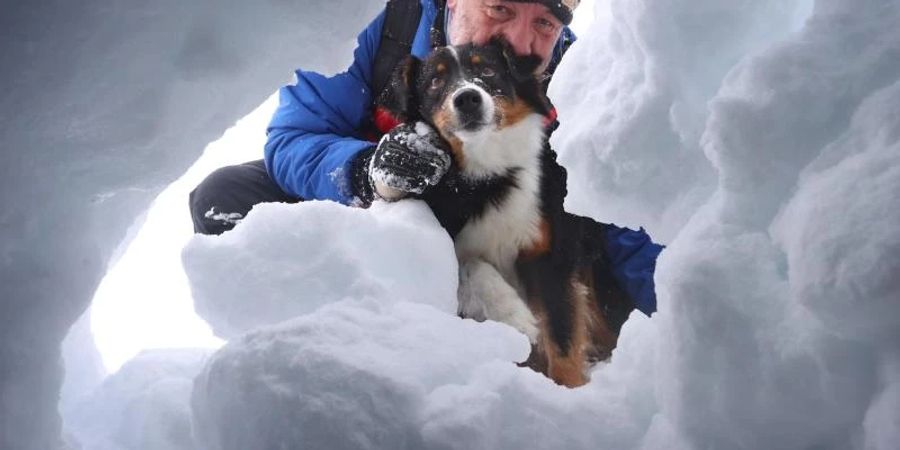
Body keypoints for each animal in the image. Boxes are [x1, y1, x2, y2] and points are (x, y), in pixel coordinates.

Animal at [376, 37, 636, 386]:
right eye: (434, 81)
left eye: (487, 70)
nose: (468, 98)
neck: (491, 175)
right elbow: (470, 264)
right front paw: (515, 316)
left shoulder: (553, 254)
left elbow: (563, 338)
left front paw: (568, 390)